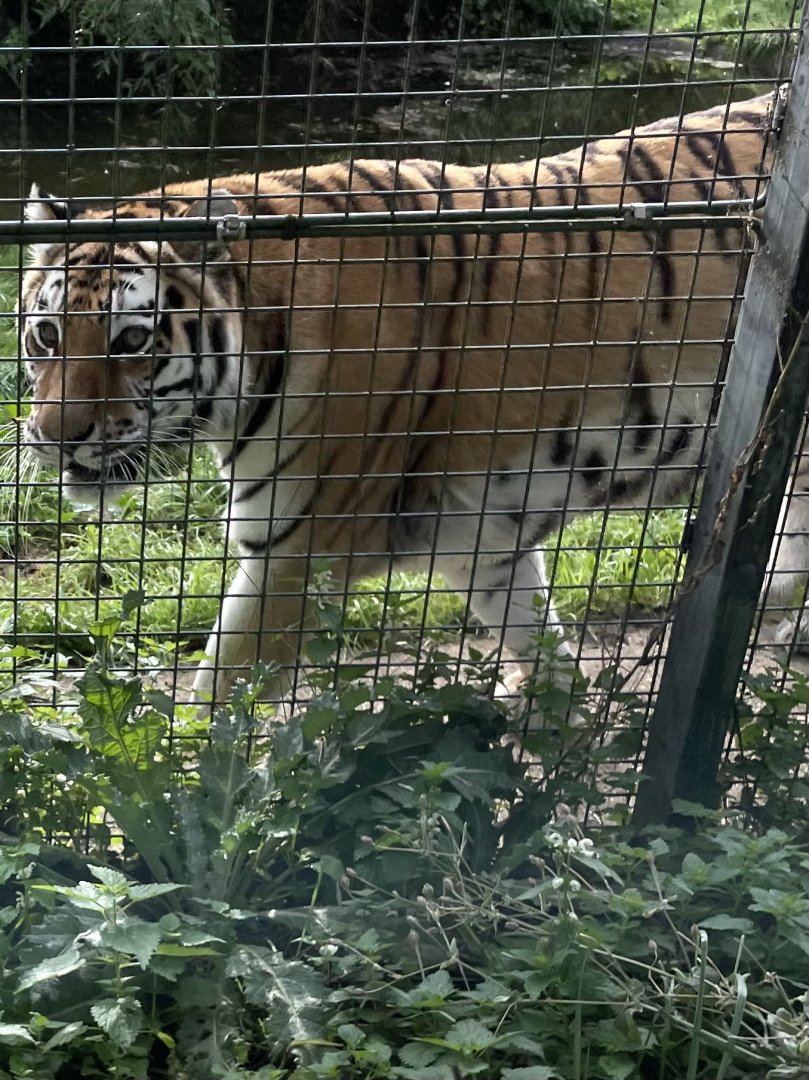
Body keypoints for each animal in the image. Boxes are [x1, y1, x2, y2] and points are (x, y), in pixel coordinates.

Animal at [19, 86, 806, 708]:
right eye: (47, 336)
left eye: (130, 341)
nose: (56, 438)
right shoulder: (482, 538)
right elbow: (537, 640)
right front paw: (548, 737)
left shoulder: (294, 558)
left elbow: (215, 706)